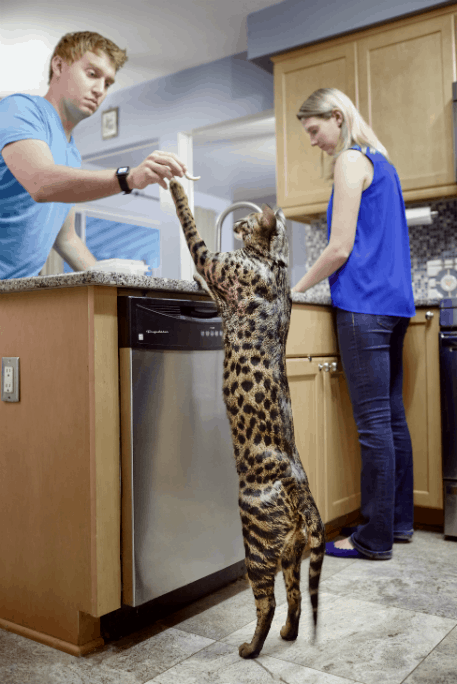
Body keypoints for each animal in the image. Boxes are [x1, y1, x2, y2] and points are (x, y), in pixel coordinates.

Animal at [169, 179, 326, 660]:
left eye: (246, 220)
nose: (236, 222)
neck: (274, 262)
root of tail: (299, 485)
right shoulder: (219, 288)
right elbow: (204, 282)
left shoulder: (211, 259)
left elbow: (188, 222)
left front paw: (175, 180)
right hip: (291, 555)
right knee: (295, 599)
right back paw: (289, 636)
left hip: (255, 551)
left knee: (268, 603)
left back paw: (250, 649)